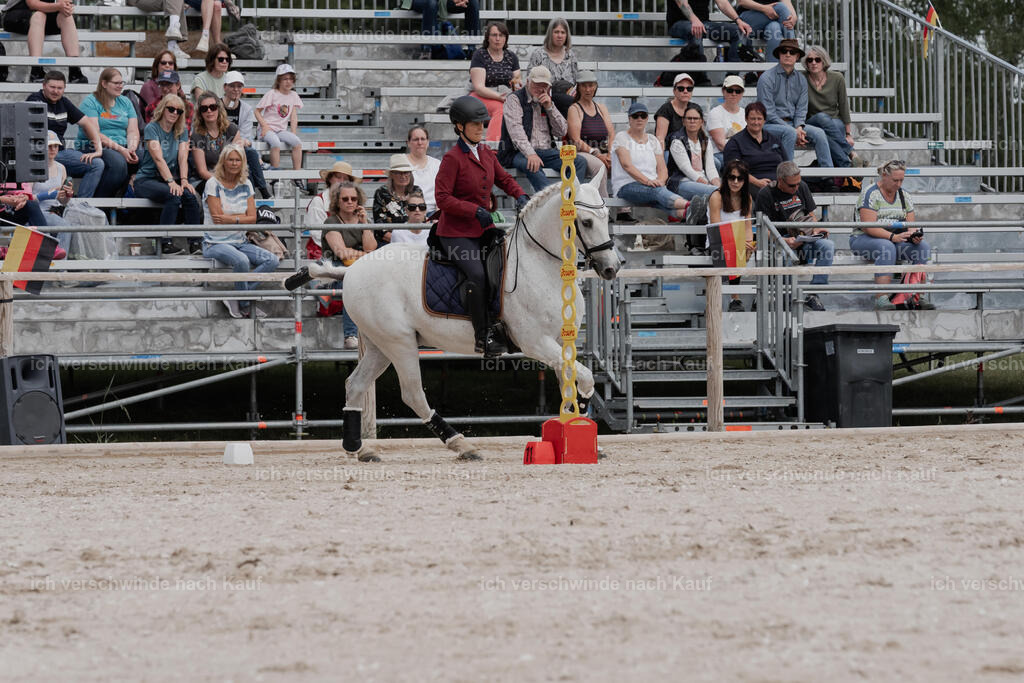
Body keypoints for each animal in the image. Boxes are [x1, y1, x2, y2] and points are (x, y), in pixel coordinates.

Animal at [288, 169, 619, 461]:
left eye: (607, 217)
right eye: (586, 221)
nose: (612, 268)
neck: (538, 265)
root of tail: (351, 270)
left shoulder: (560, 342)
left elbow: (571, 383)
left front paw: (579, 432)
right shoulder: (536, 343)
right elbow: (585, 378)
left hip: (379, 345)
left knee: (355, 385)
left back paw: (359, 449)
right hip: (399, 343)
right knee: (412, 394)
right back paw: (462, 445)